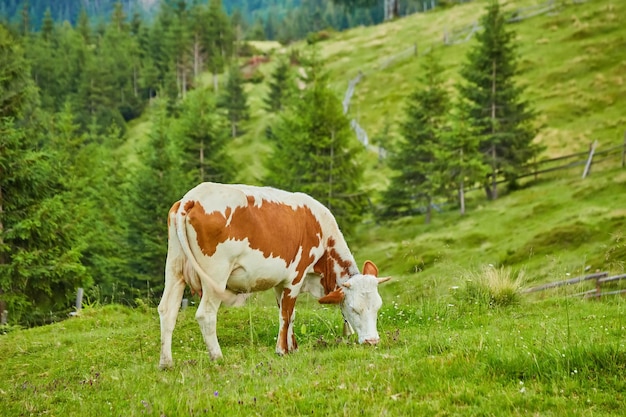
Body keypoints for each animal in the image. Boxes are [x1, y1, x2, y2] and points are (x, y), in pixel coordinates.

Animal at [158, 182, 388, 368]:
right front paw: (282, 350)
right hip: (216, 275)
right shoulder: (295, 277)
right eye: (354, 308)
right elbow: (285, 314)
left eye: (377, 307)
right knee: (205, 314)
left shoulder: (280, 282)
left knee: (167, 310)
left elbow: (289, 314)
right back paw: (217, 357)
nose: (372, 341)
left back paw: (166, 363)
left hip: (174, 269)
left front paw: (293, 347)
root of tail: (192, 198)